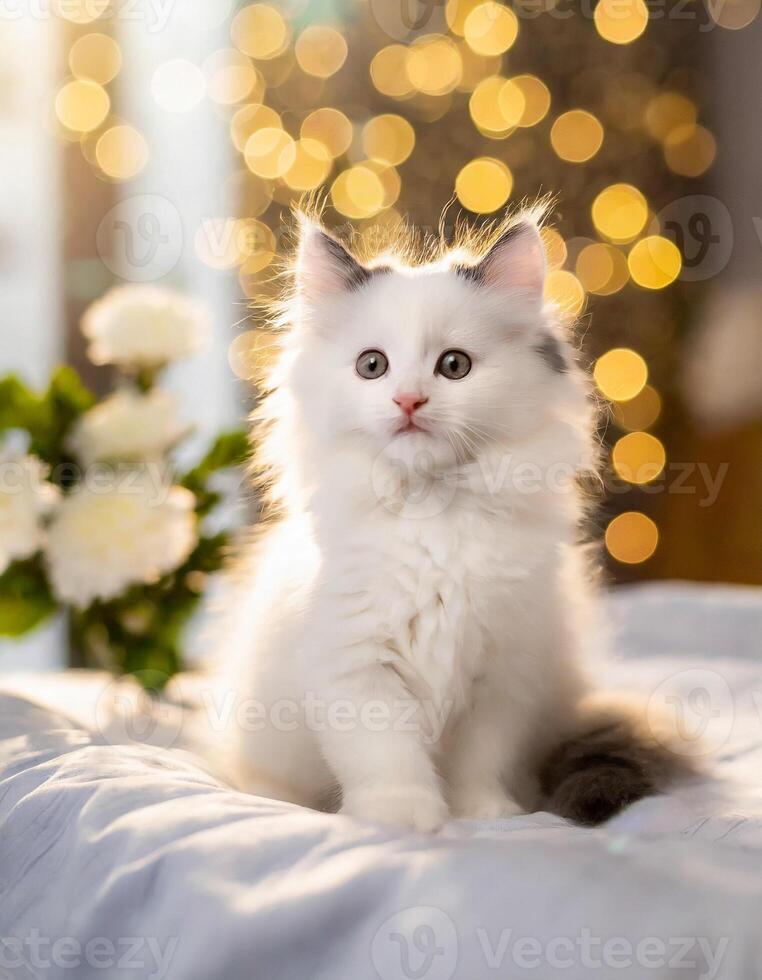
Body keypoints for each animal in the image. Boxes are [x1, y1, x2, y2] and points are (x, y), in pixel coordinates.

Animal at [220, 211, 696, 832]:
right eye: (372, 366)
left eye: (454, 366)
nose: (408, 401)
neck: (434, 514)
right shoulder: (355, 665)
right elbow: (385, 754)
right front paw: (403, 818)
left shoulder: (503, 672)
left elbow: (480, 760)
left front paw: (485, 815)